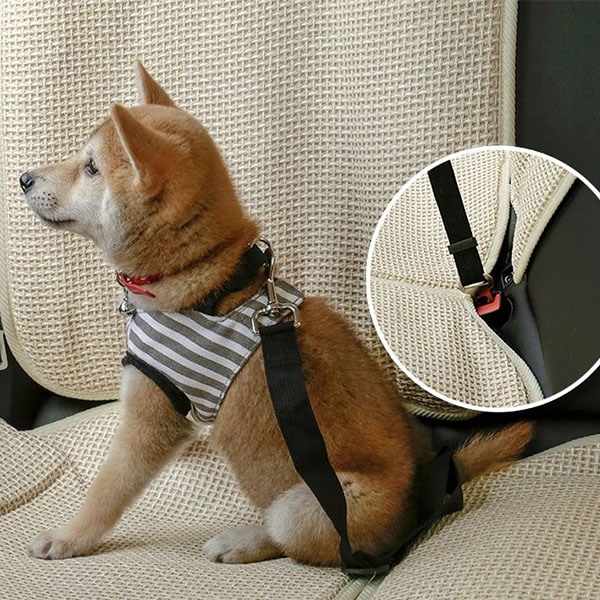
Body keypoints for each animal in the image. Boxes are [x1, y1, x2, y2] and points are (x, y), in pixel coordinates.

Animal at [22, 61, 532, 565]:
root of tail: (423, 497)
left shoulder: (150, 417)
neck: (200, 276)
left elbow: (106, 491)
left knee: (289, 540)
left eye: (91, 167)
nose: (25, 177)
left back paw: (241, 541)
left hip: (306, 504)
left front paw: (69, 538)